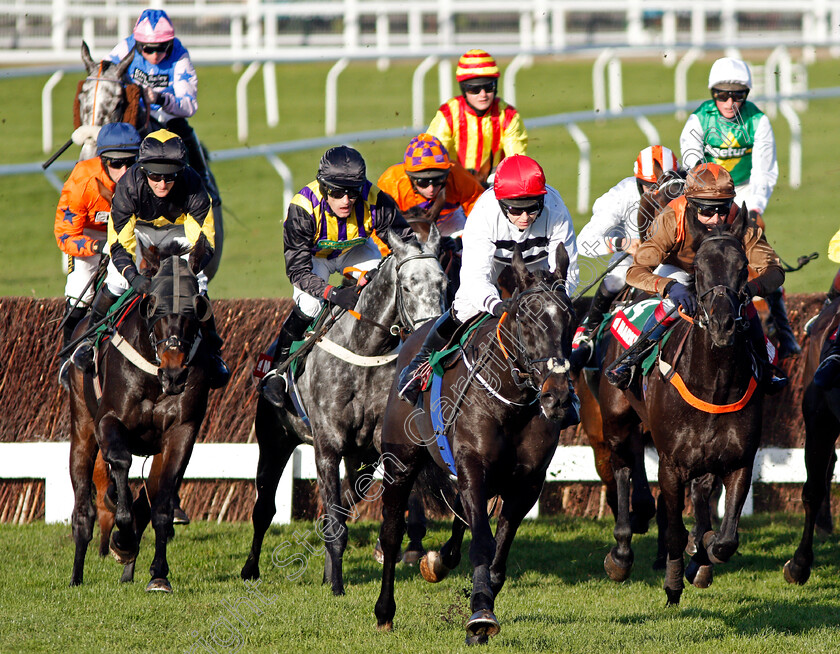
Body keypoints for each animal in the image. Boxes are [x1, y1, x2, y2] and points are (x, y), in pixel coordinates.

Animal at [69, 242, 215, 596]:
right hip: (81, 427)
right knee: (83, 508)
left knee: (147, 500)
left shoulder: (181, 433)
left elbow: (160, 505)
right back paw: (77, 574)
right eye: (153, 306)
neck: (153, 373)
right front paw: (122, 540)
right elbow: (121, 464)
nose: (175, 374)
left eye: (196, 308)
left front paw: (158, 574)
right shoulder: (108, 421)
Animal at [240, 229, 450, 596]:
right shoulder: (327, 447)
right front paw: (337, 587)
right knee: (263, 508)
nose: (432, 334)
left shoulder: (376, 449)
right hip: (274, 441)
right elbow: (333, 523)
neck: (364, 350)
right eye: (408, 286)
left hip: (358, 458)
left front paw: (334, 577)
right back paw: (251, 569)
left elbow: (341, 516)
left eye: (443, 282)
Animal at [374, 245, 576, 644]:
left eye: (569, 316)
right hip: (400, 462)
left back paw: (438, 561)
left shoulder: (526, 483)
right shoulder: (472, 466)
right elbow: (482, 543)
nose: (557, 396)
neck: (510, 404)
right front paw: (481, 614)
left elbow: (498, 555)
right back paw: (385, 611)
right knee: (391, 533)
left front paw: (481, 603)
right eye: (526, 318)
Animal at [596, 209, 760, 604]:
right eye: (699, 268)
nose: (722, 323)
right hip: (617, 419)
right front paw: (672, 582)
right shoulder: (670, 464)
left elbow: (725, 540)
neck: (714, 385)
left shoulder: (739, 462)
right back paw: (621, 553)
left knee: (699, 493)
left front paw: (703, 554)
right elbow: (673, 529)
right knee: (622, 469)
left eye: (743, 266)